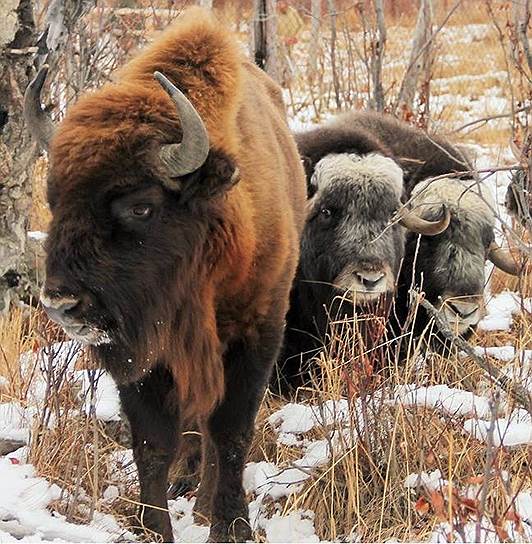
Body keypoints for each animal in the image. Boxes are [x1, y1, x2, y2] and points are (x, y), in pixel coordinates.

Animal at [25, 7, 306, 540]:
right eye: (54, 199)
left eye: (141, 206)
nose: (61, 304)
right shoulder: (143, 355)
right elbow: (153, 444)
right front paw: (152, 527)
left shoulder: (257, 333)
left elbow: (231, 433)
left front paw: (229, 525)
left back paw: (204, 502)